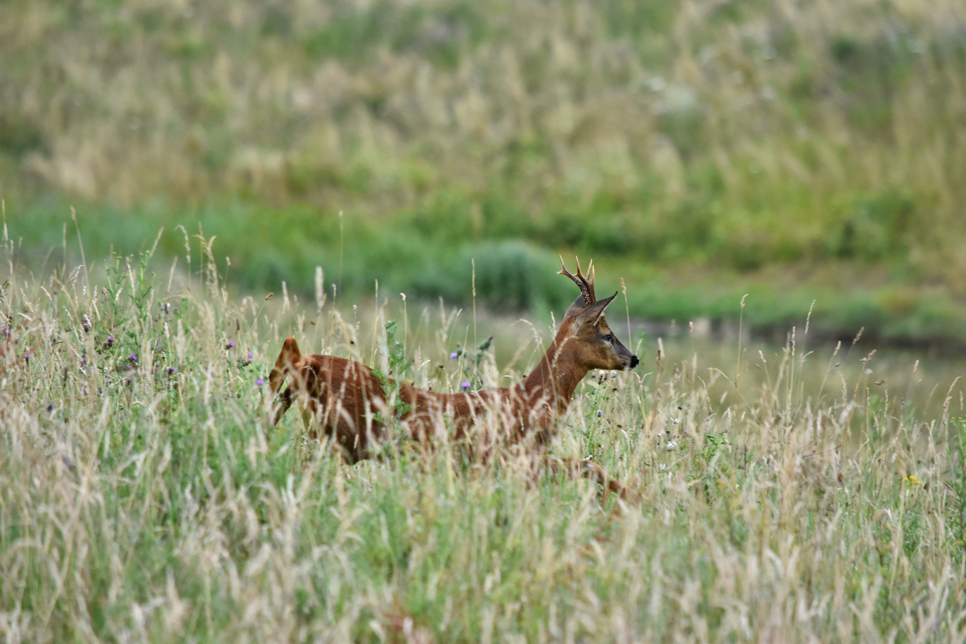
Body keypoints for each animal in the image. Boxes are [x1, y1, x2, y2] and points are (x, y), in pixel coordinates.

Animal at [268, 262, 640, 498]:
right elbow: (586, 466)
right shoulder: (505, 456)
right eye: (607, 334)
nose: (634, 358)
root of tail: (310, 364)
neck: (530, 400)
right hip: (338, 436)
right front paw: (633, 499)